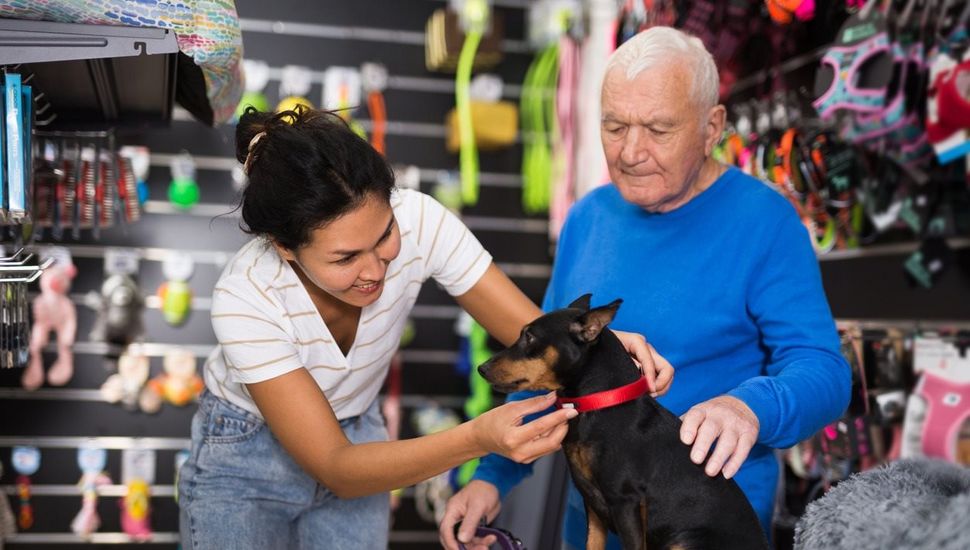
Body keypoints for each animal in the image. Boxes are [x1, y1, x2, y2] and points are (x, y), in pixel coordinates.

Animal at [474, 296, 764, 548]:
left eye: (530, 337)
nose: (481, 368)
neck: (599, 404)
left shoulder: (625, 503)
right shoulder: (593, 506)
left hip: (685, 542)